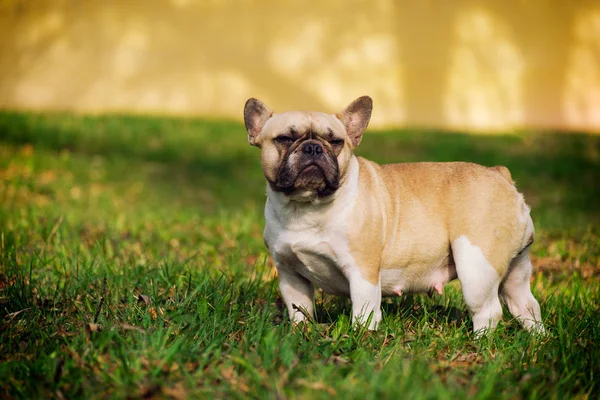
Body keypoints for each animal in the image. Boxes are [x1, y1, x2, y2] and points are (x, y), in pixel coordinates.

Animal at [243, 96, 544, 334]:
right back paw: (537, 341)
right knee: (526, 306)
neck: (304, 207)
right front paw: (300, 334)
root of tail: (500, 174)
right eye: (284, 139)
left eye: (335, 142)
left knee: (489, 312)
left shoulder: (362, 271)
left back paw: (480, 343)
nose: (313, 148)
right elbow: (300, 310)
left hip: (476, 267)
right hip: (514, 270)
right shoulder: (291, 275)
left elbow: (364, 312)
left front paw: (361, 338)